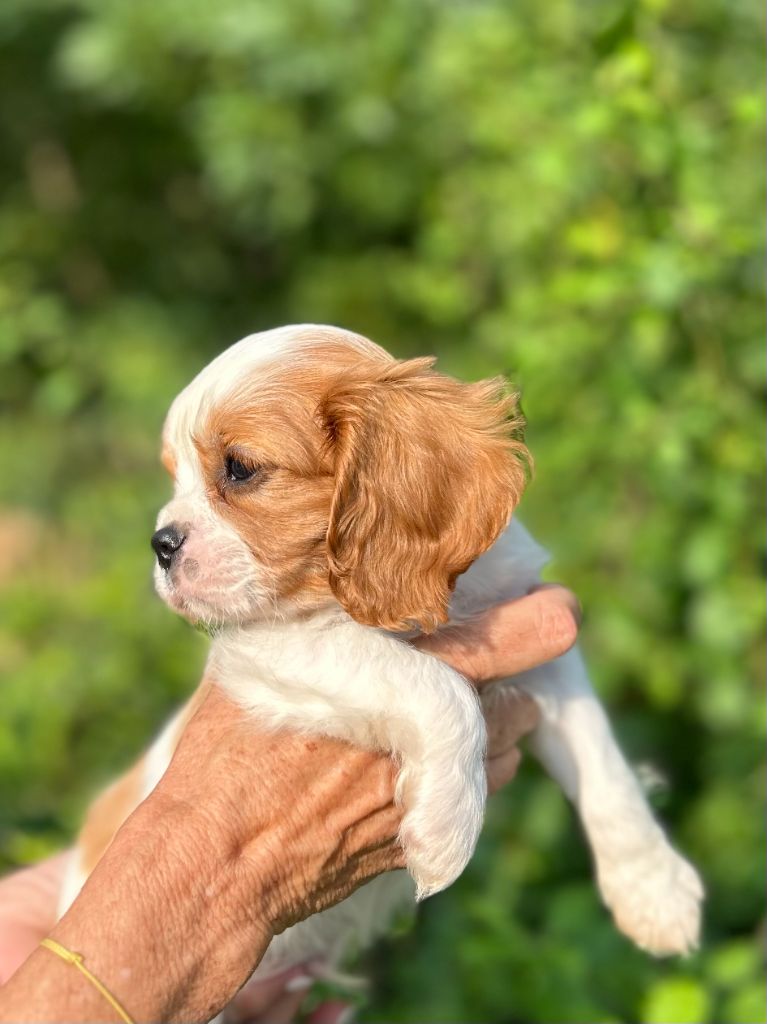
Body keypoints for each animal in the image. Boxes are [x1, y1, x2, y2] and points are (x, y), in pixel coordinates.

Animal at [59, 323, 704, 978]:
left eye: (239, 469)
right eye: (174, 475)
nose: (161, 544)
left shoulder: (539, 636)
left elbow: (602, 758)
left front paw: (654, 889)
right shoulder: (273, 647)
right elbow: (438, 687)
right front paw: (446, 829)